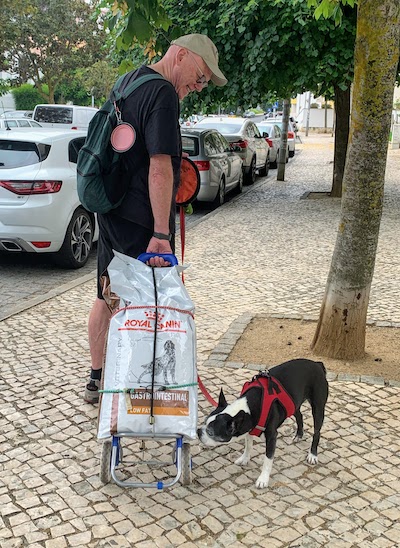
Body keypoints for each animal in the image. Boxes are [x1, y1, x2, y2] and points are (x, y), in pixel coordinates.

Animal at [197, 360, 328, 488]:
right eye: (204, 422)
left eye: (210, 433)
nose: (198, 431)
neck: (249, 408)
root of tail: (317, 364)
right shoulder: (249, 428)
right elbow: (248, 446)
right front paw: (244, 459)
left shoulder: (271, 436)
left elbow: (268, 459)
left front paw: (263, 479)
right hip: (294, 403)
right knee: (299, 415)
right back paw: (298, 435)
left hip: (318, 407)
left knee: (317, 431)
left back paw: (312, 455)